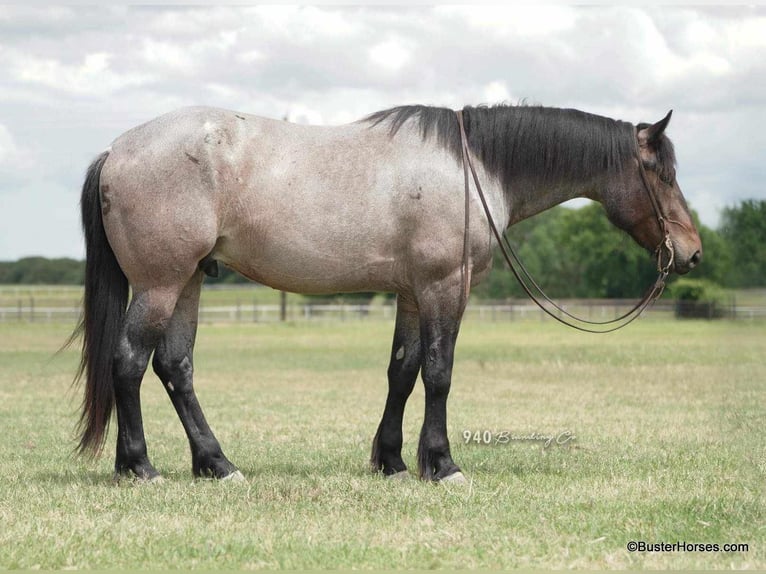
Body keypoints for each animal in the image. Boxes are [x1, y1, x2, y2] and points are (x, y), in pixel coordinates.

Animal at [70, 104, 704, 486]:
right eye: (665, 175)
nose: (692, 252)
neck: (471, 169)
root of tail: (117, 150)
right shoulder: (445, 285)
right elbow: (439, 371)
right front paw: (442, 464)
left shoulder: (412, 294)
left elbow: (403, 370)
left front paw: (394, 461)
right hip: (162, 282)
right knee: (130, 361)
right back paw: (140, 466)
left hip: (191, 280)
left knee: (175, 366)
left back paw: (217, 464)